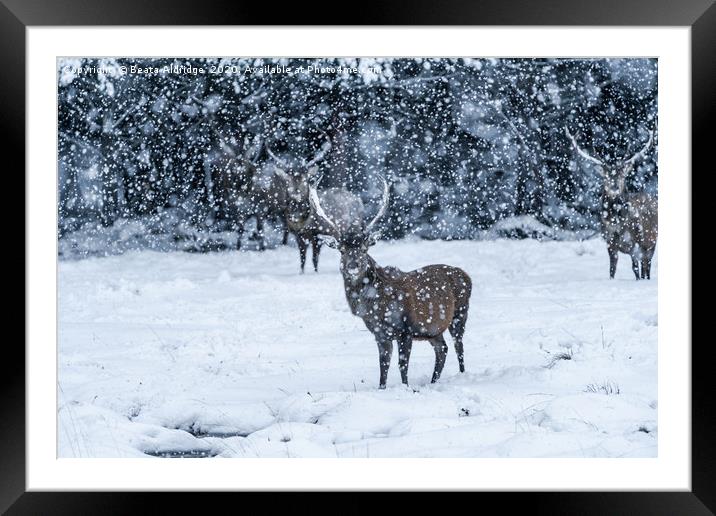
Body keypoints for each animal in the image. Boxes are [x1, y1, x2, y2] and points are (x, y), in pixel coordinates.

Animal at [310, 175, 472, 390]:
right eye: (341, 250)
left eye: (364, 249)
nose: (353, 265)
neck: (376, 306)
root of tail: (466, 275)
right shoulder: (380, 333)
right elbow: (383, 365)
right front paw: (382, 388)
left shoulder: (406, 328)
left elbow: (402, 365)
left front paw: (405, 387)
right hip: (432, 329)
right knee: (442, 349)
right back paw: (433, 381)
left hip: (460, 313)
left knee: (458, 345)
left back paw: (462, 375)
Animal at [564, 127, 660, 280]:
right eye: (607, 175)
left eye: (621, 174)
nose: (614, 185)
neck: (616, 224)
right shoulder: (609, 243)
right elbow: (612, 270)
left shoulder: (635, 243)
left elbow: (635, 269)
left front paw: (638, 281)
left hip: (650, 242)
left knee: (646, 266)